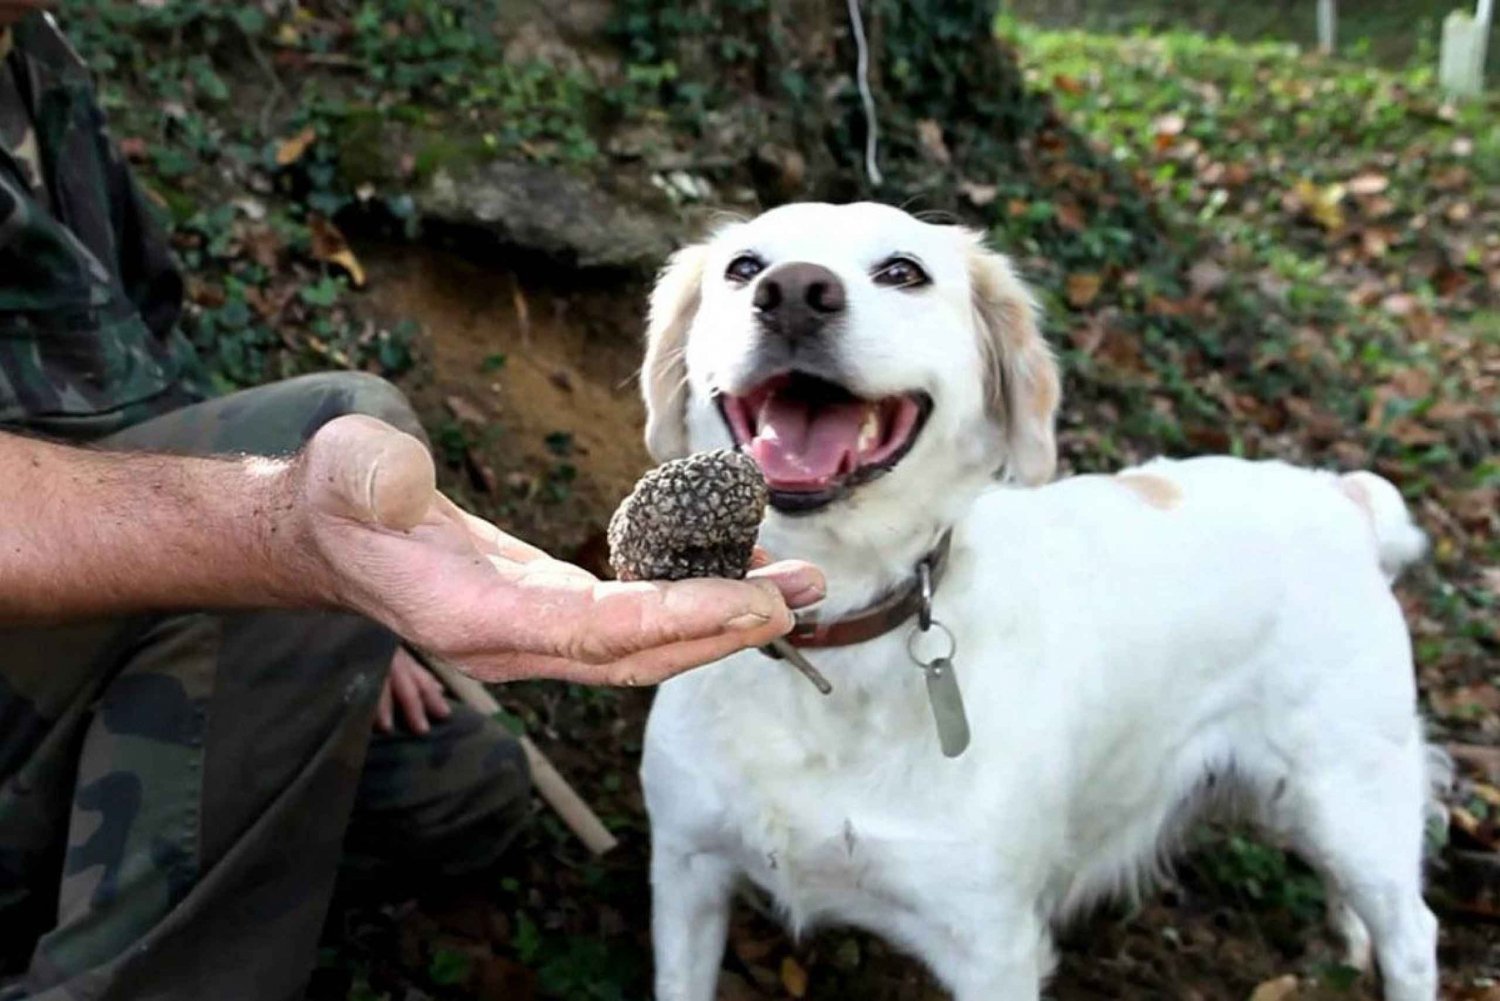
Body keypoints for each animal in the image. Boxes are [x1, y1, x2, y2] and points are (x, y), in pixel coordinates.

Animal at [636, 199, 1440, 996]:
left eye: (903, 271)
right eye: (744, 267)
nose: (794, 293)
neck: (837, 631)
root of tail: (1342, 496)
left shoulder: (992, 946)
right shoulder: (685, 871)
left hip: (1350, 797)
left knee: (1413, 932)